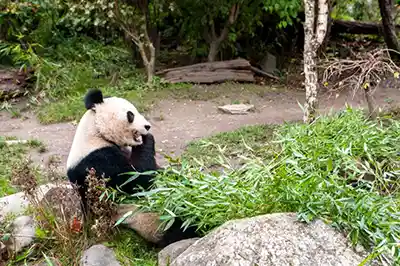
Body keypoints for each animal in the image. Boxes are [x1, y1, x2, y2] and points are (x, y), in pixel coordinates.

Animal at [67, 88, 202, 248]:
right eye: (130, 114)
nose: (148, 126)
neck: (96, 132)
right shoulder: (97, 162)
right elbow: (136, 181)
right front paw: (147, 139)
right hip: (150, 218)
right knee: (180, 223)